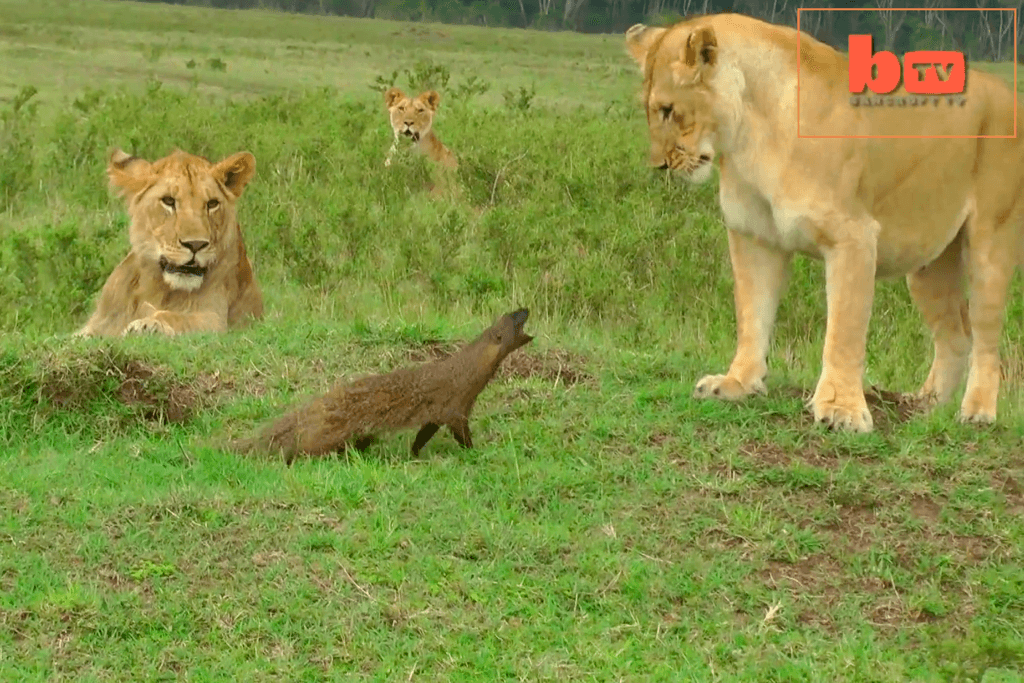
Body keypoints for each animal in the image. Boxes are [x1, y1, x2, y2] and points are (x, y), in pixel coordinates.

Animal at [75, 148, 264, 337]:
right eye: (168, 201)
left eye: (212, 204)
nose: (195, 244)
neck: (155, 288)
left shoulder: (215, 319)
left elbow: (179, 318)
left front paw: (147, 324)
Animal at [625, 13, 1024, 432]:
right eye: (651, 111)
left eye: (668, 109)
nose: (659, 166)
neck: (748, 140)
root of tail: (1010, 93)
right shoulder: (754, 238)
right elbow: (752, 314)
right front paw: (737, 383)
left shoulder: (854, 236)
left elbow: (844, 331)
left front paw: (841, 409)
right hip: (928, 264)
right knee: (956, 335)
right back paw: (923, 407)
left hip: (991, 242)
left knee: (986, 337)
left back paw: (977, 412)